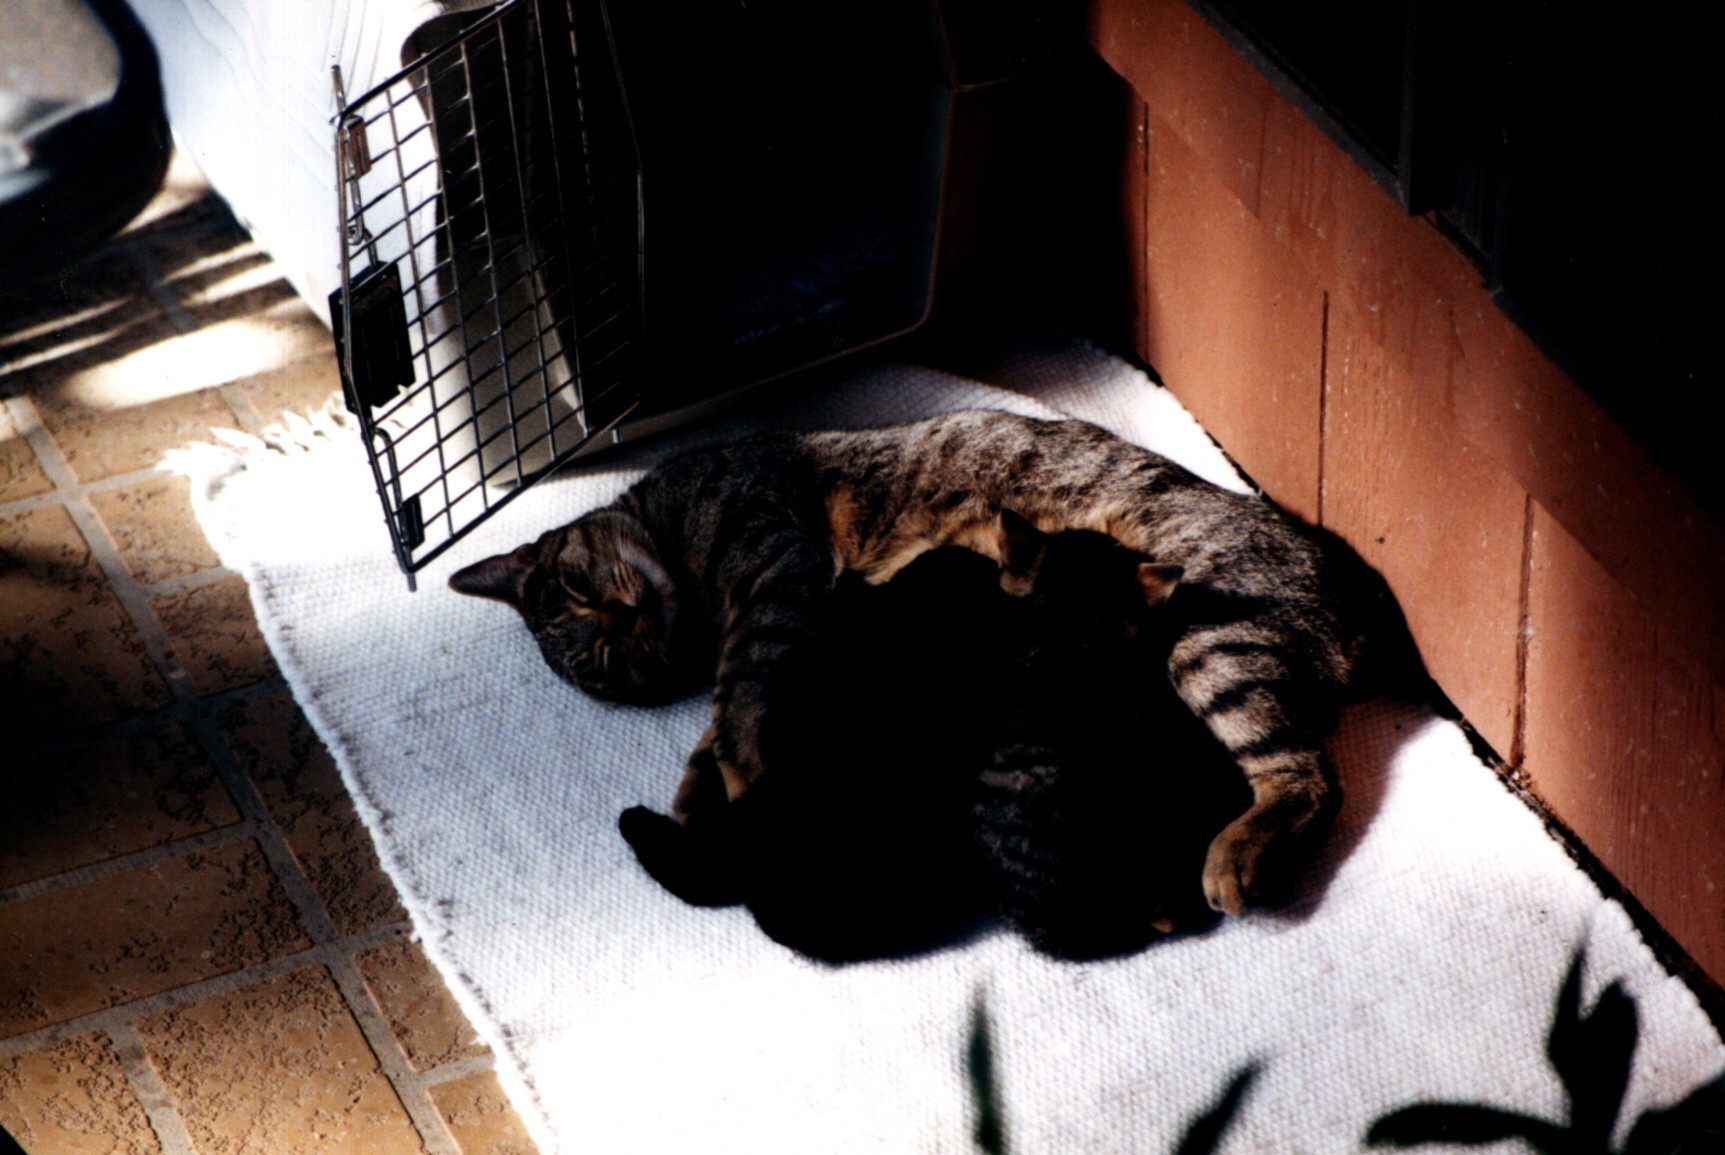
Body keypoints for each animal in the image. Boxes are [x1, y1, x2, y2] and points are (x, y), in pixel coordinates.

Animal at [450, 408, 1391, 913]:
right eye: (605, 662)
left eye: (576, 586)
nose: (621, 619)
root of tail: (1347, 597)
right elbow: (723, 720)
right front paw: (699, 794)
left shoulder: (776, 575)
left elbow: (738, 700)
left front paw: (735, 786)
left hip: (1210, 643)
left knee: (1309, 778)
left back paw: (1234, 856)